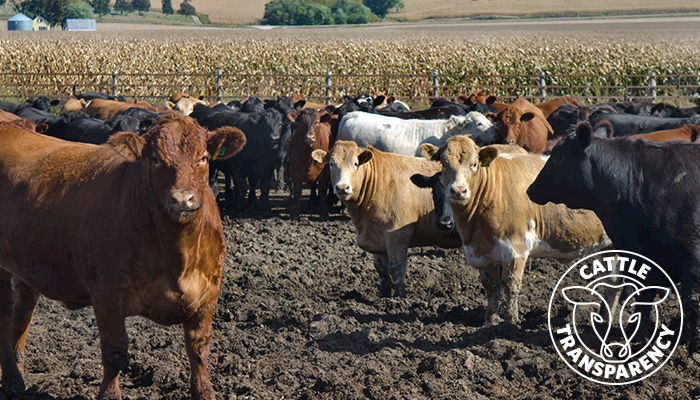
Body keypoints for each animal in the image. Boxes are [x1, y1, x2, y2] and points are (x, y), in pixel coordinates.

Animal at [0, 113, 247, 400]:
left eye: (204, 158)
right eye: (156, 159)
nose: (182, 200)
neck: (178, 257)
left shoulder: (209, 292)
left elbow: (199, 350)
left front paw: (204, 391)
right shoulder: (107, 295)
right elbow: (115, 352)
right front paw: (109, 393)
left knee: (22, 311)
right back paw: (12, 380)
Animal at [528, 122, 700, 356]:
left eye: (559, 157)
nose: (531, 189)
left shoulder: (692, 260)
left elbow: (692, 303)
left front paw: (693, 351)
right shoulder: (644, 256)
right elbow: (644, 298)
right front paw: (639, 339)